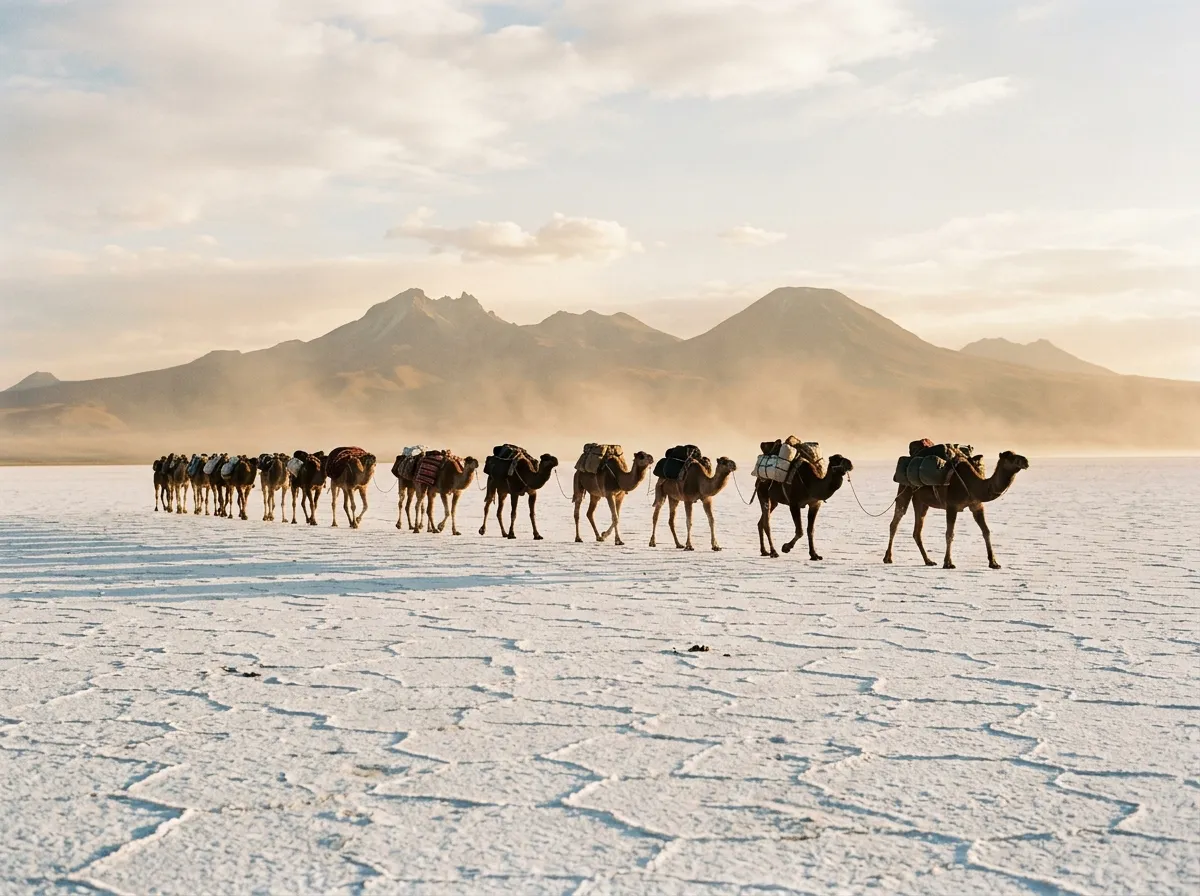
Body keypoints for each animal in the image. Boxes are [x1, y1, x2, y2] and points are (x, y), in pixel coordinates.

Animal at [884, 450, 1030, 569]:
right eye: (1010, 457)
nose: (1026, 461)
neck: (974, 485)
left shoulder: (977, 505)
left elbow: (986, 531)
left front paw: (994, 563)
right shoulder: (952, 505)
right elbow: (950, 534)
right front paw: (948, 563)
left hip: (921, 501)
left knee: (917, 531)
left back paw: (928, 561)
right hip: (905, 488)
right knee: (896, 521)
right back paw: (888, 558)